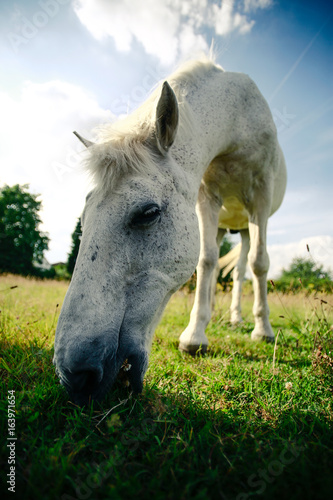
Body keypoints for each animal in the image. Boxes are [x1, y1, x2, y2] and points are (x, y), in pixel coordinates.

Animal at [52, 57, 286, 406]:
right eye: (84, 218)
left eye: (148, 213)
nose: (74, 376)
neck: (237, 117)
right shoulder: (207, 196)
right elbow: (206, 260)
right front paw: (195, 335)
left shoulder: (261, 193)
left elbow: (260, 264)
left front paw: (264, 331)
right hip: (226, 225)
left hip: (246, 224)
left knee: (245, 268)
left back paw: (243, 320)